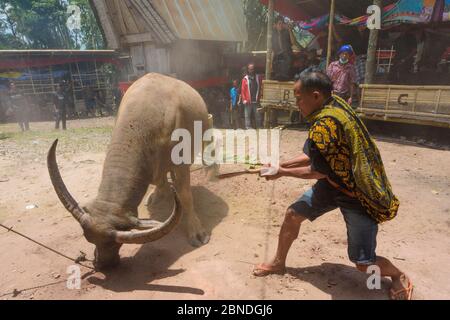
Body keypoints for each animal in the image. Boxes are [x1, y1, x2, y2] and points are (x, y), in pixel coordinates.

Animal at [48, 73, 214, 270]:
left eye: (115, 243)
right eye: (89, 239)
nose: (102, 264)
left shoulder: (180, 164)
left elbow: (185, 195)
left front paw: (196, 232)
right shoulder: (153, 164)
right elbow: (159, 180)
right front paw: (161, 194)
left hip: (206, 129)